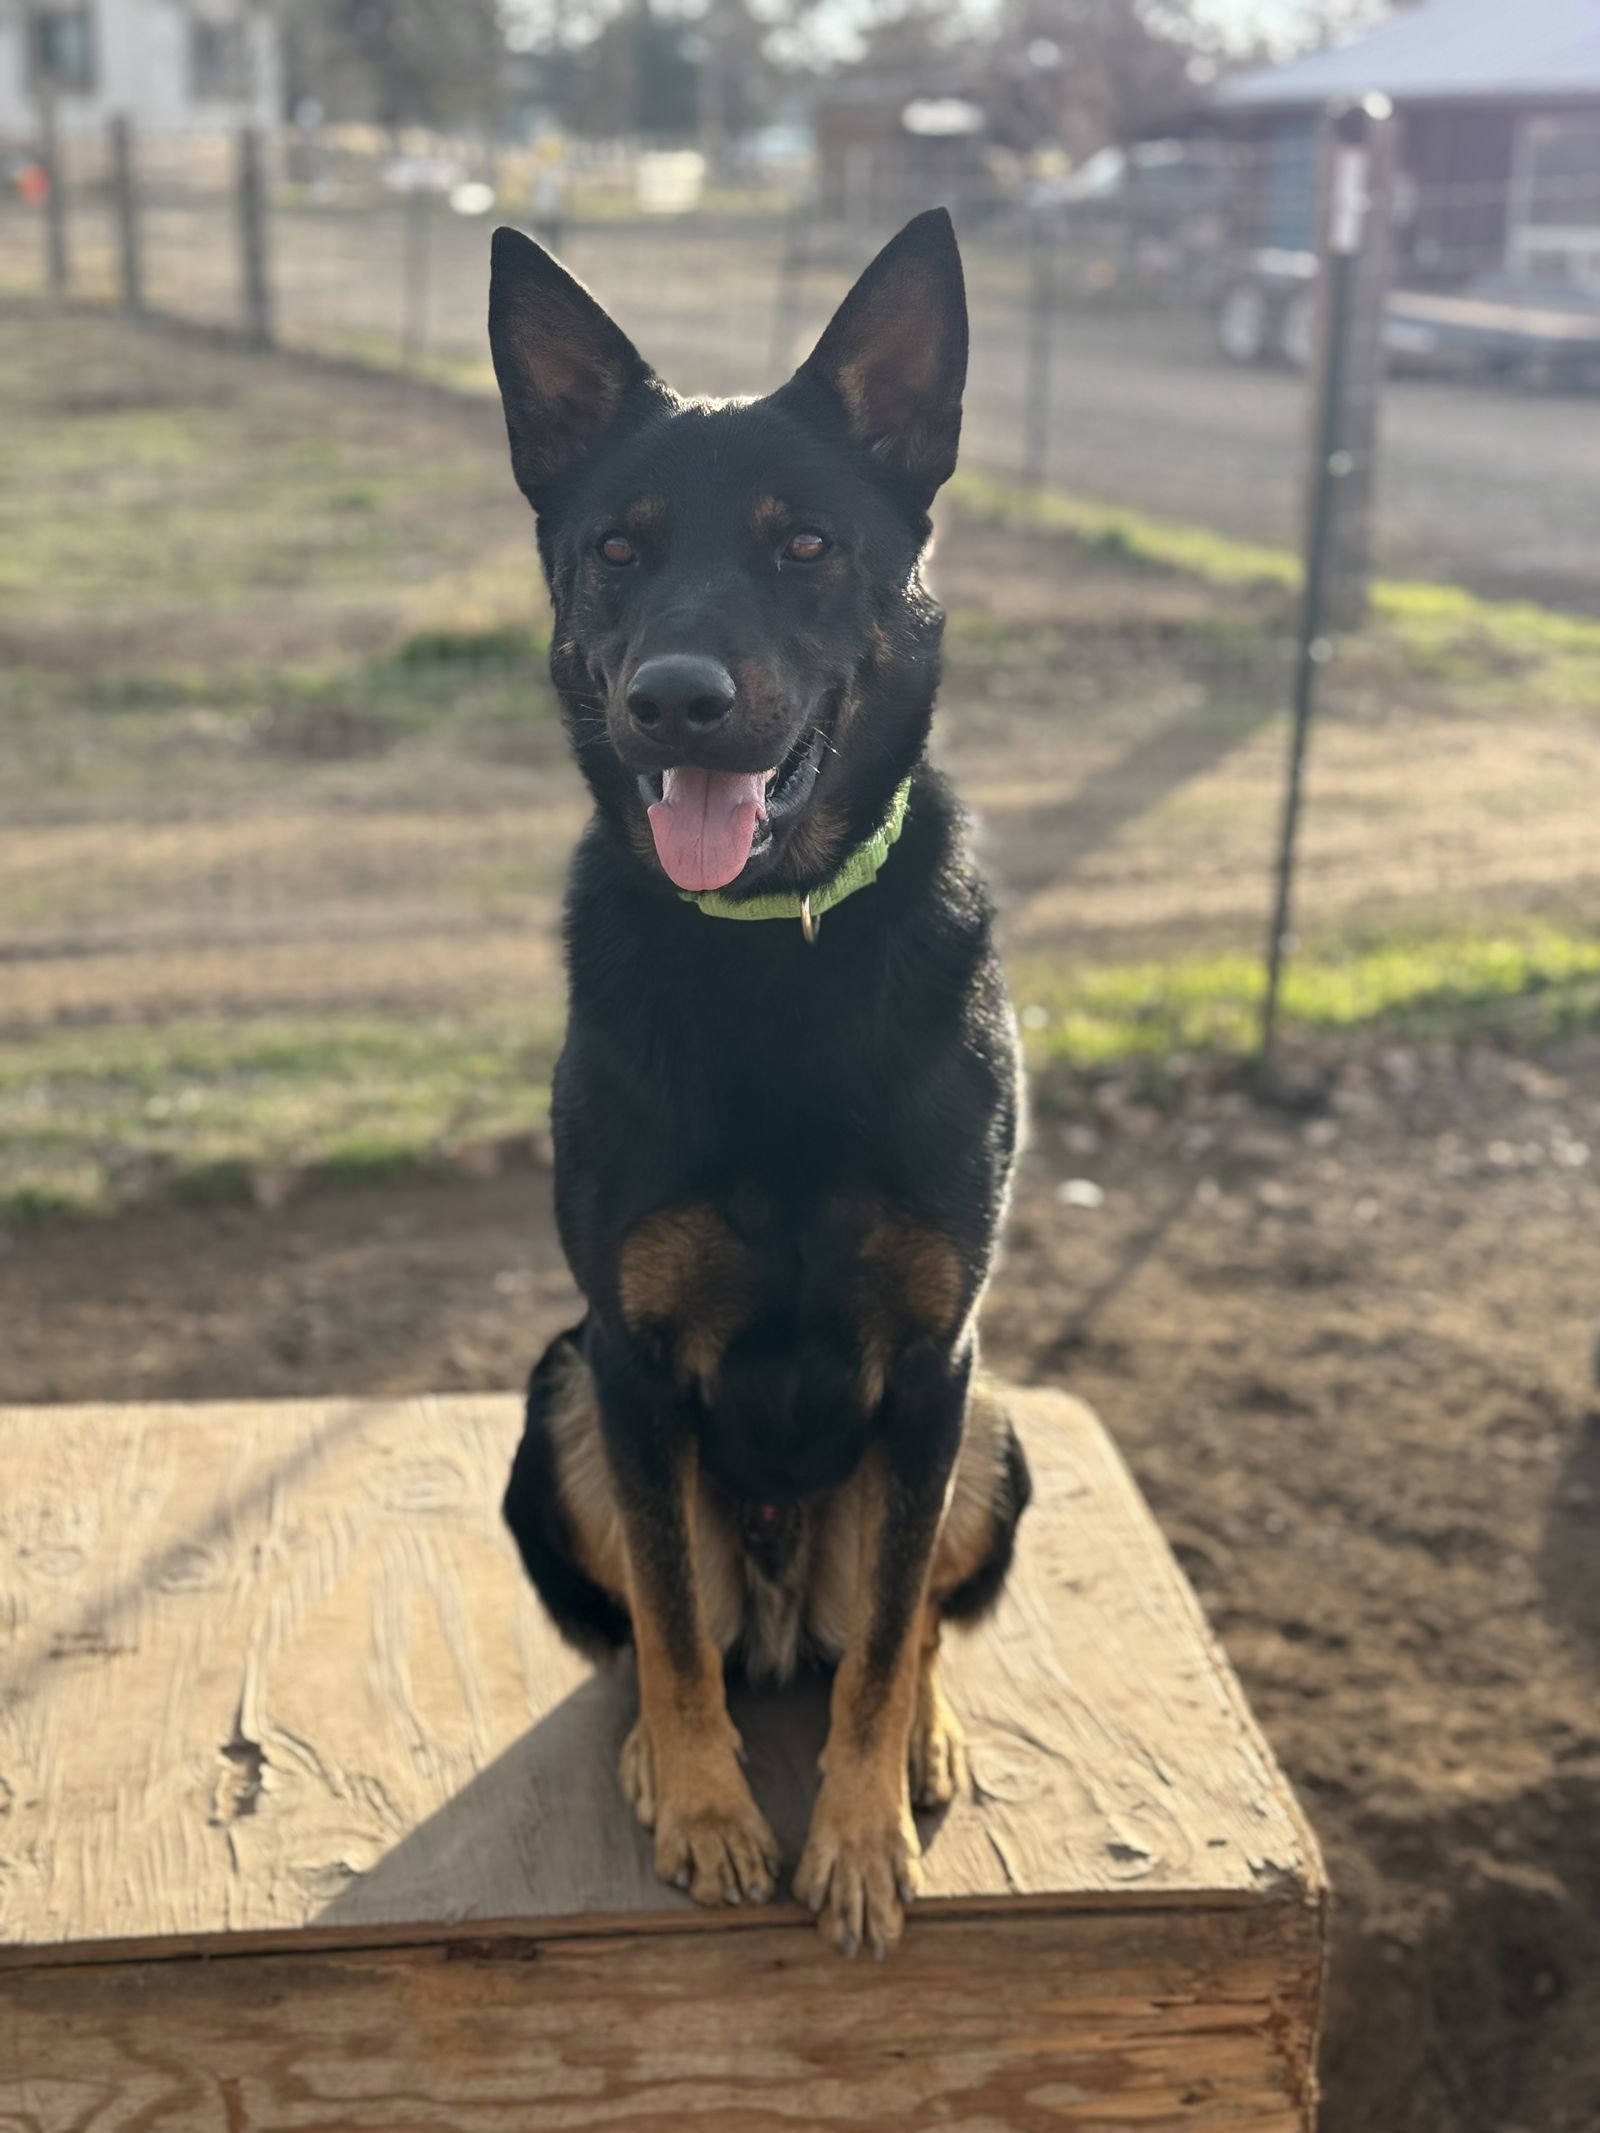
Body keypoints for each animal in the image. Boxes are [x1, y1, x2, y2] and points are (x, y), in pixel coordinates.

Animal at [488, 207, 1032, 1953]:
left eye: (803, 547)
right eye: (615, 551)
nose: (676, 699)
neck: (772, 955)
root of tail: (785, 1593)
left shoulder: (936, 1358)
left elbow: (888, 1642)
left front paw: (856, 1833)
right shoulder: (630, 1358)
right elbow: (664, 1623)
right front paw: (716, 1808)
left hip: (991, 1426)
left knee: (888, 1623)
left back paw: (920, 1729)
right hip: (560, 1401)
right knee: (669, 1641)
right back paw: (666, 1755)